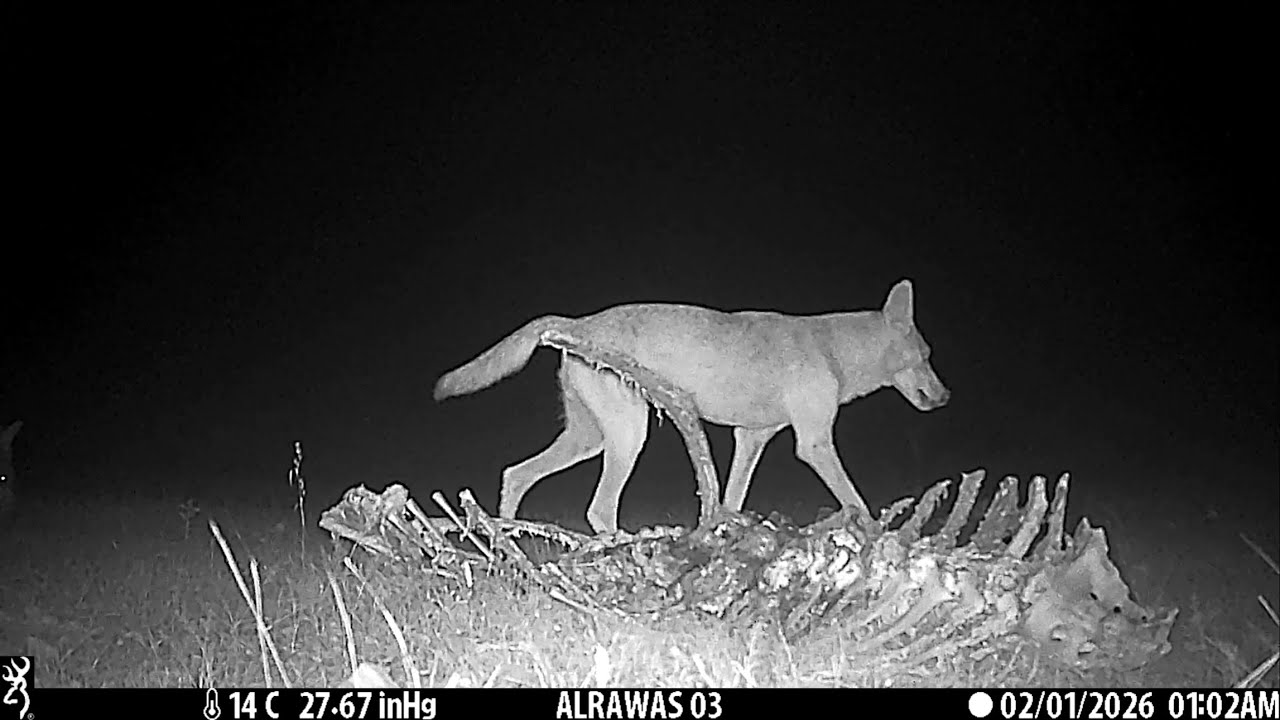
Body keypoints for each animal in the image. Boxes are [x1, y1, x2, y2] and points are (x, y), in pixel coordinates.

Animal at [434, 279, 950, 534]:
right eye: (927, 356)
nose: (945, 396)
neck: (833, 351)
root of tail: (578, 322)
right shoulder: (815, 444)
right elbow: (857, 502)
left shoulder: (751, 439)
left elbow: (731, 501)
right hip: (629, 438)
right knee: (599, 510)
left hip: (589, 439)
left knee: (516, 475)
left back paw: (502, 540)